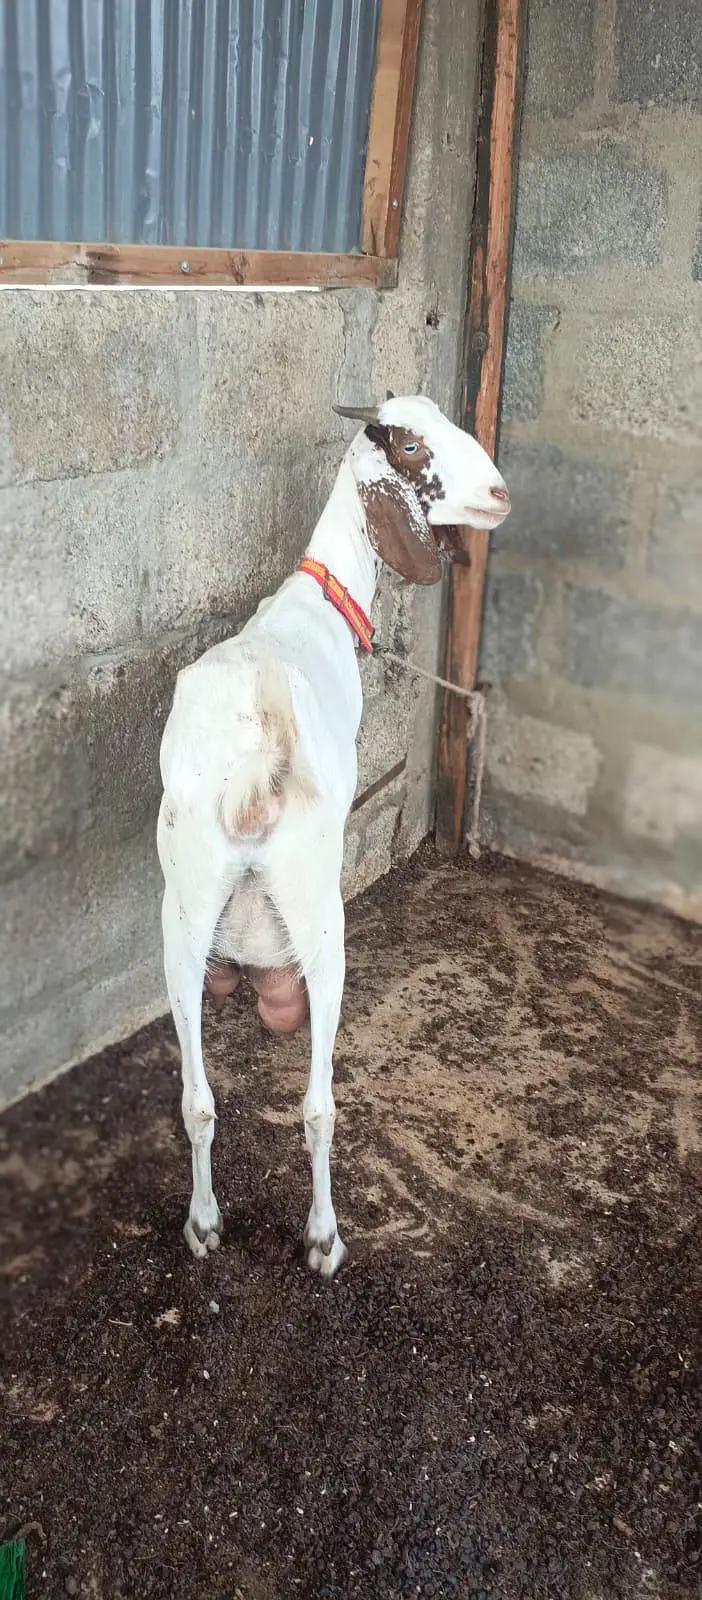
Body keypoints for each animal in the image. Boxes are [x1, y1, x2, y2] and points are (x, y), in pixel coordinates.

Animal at [157, 395, 510, 1274]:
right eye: (412, 445)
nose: (498, 494)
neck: (314, 603)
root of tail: (257, 756)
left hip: (182, 912)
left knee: (198, 1101)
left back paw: (204, 1223)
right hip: (321, 916)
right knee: (319, 1106)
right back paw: (324, 1237)